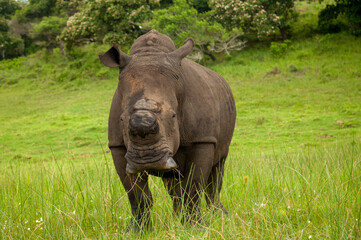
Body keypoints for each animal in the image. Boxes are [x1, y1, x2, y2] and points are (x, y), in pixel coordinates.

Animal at [98, 29, 235, 229]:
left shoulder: (203, 140)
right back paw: (178, 218)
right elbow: (136, 194)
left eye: (173, 116)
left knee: (218, 168)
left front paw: (197, 227)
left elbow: (193, 186)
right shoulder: (118, 146)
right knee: (173, 181)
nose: (147, 160)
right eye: (122, 119)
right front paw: (136, 230)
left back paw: (220, 216)